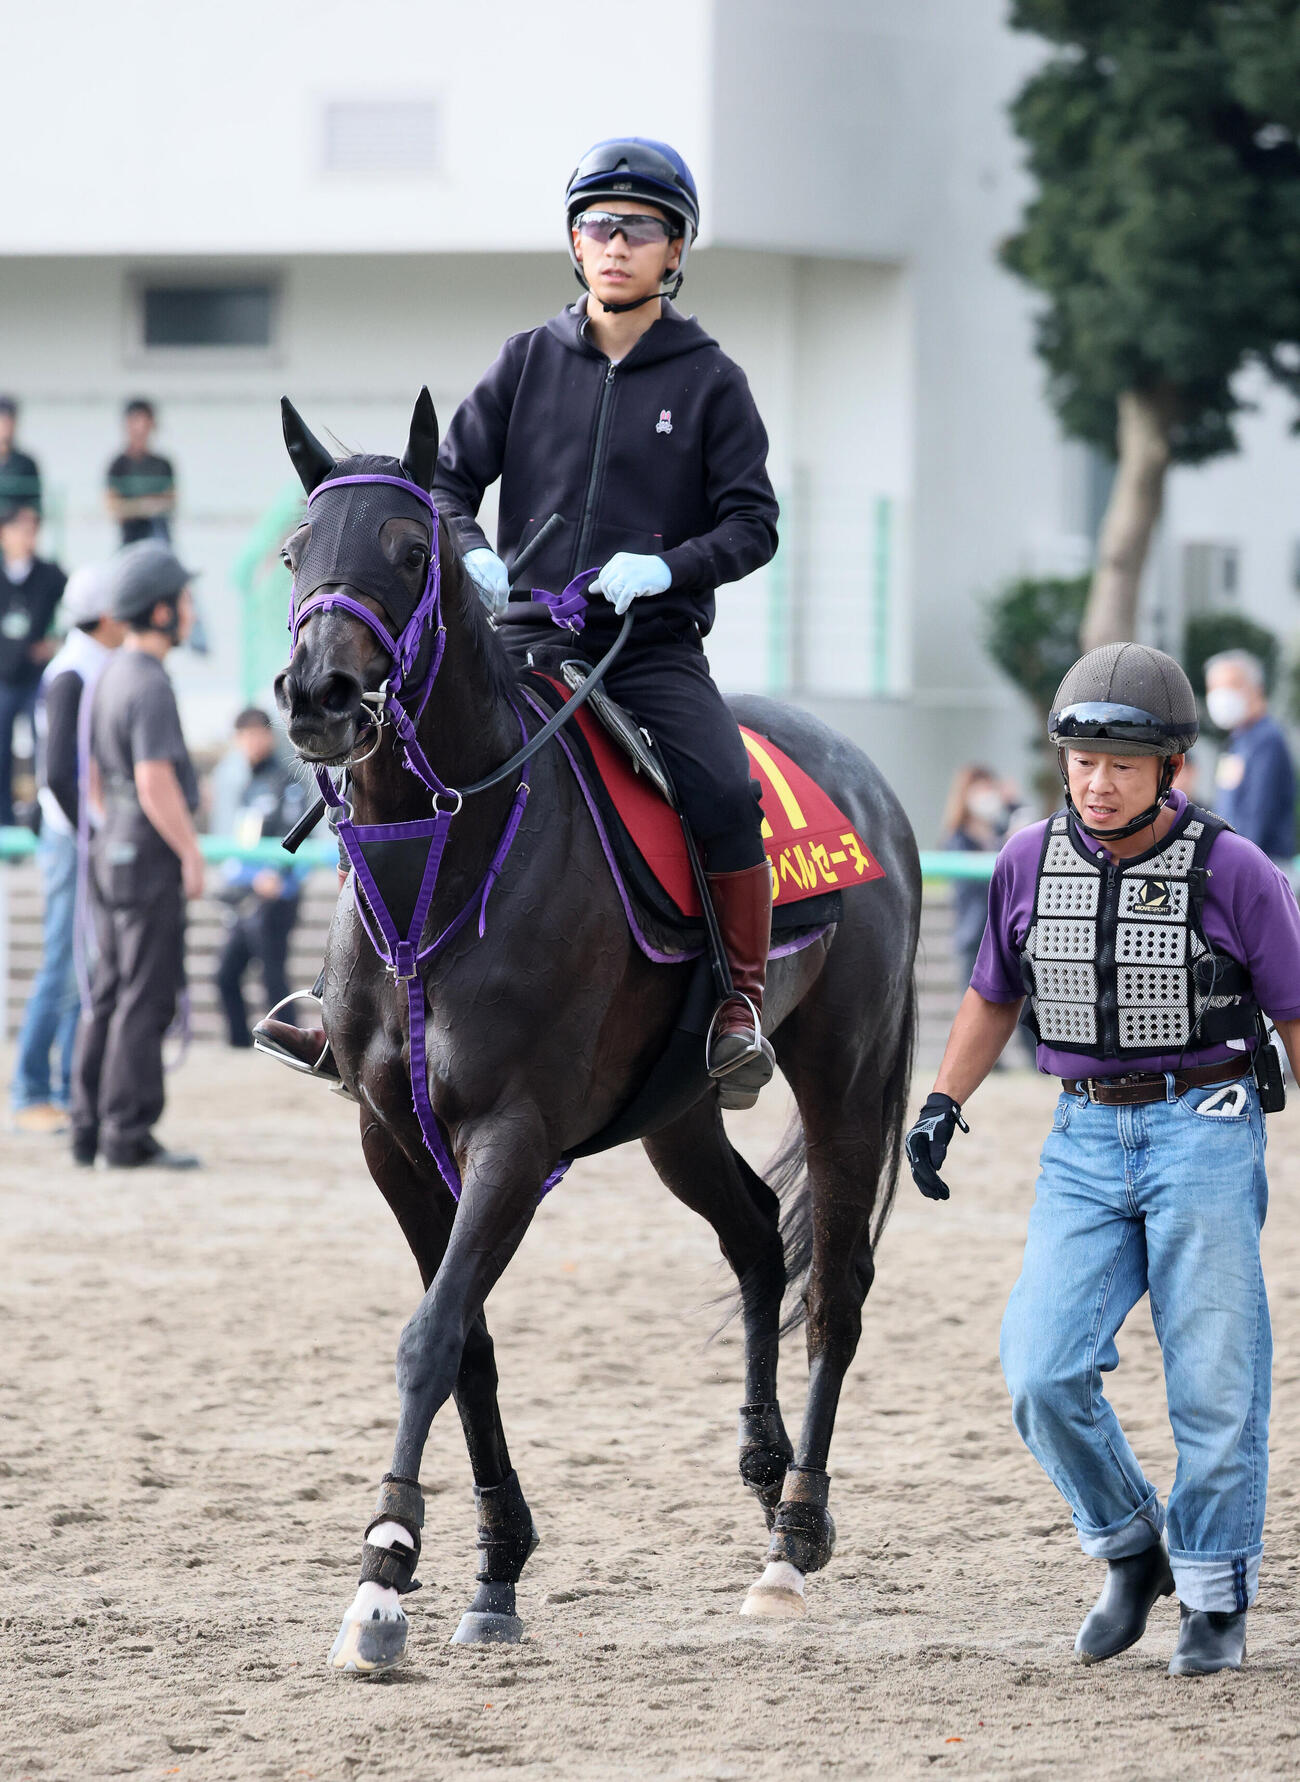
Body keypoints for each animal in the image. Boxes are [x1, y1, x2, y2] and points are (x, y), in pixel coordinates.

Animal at [273, 389, 922, 1673]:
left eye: (410, 552)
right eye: (293, 553)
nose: (321, 696)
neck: (444, 868)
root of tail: (873, 790)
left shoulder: (512, 1140)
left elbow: (431, 1335)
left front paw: (382, 1573)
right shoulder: (395, 1147)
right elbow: (466, 1341)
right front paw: (490, 1568)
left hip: (846, 1082)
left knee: (836, 1285)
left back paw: (794, 1533)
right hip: (677, 1115)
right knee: (757, 1241)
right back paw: (763, 1468)